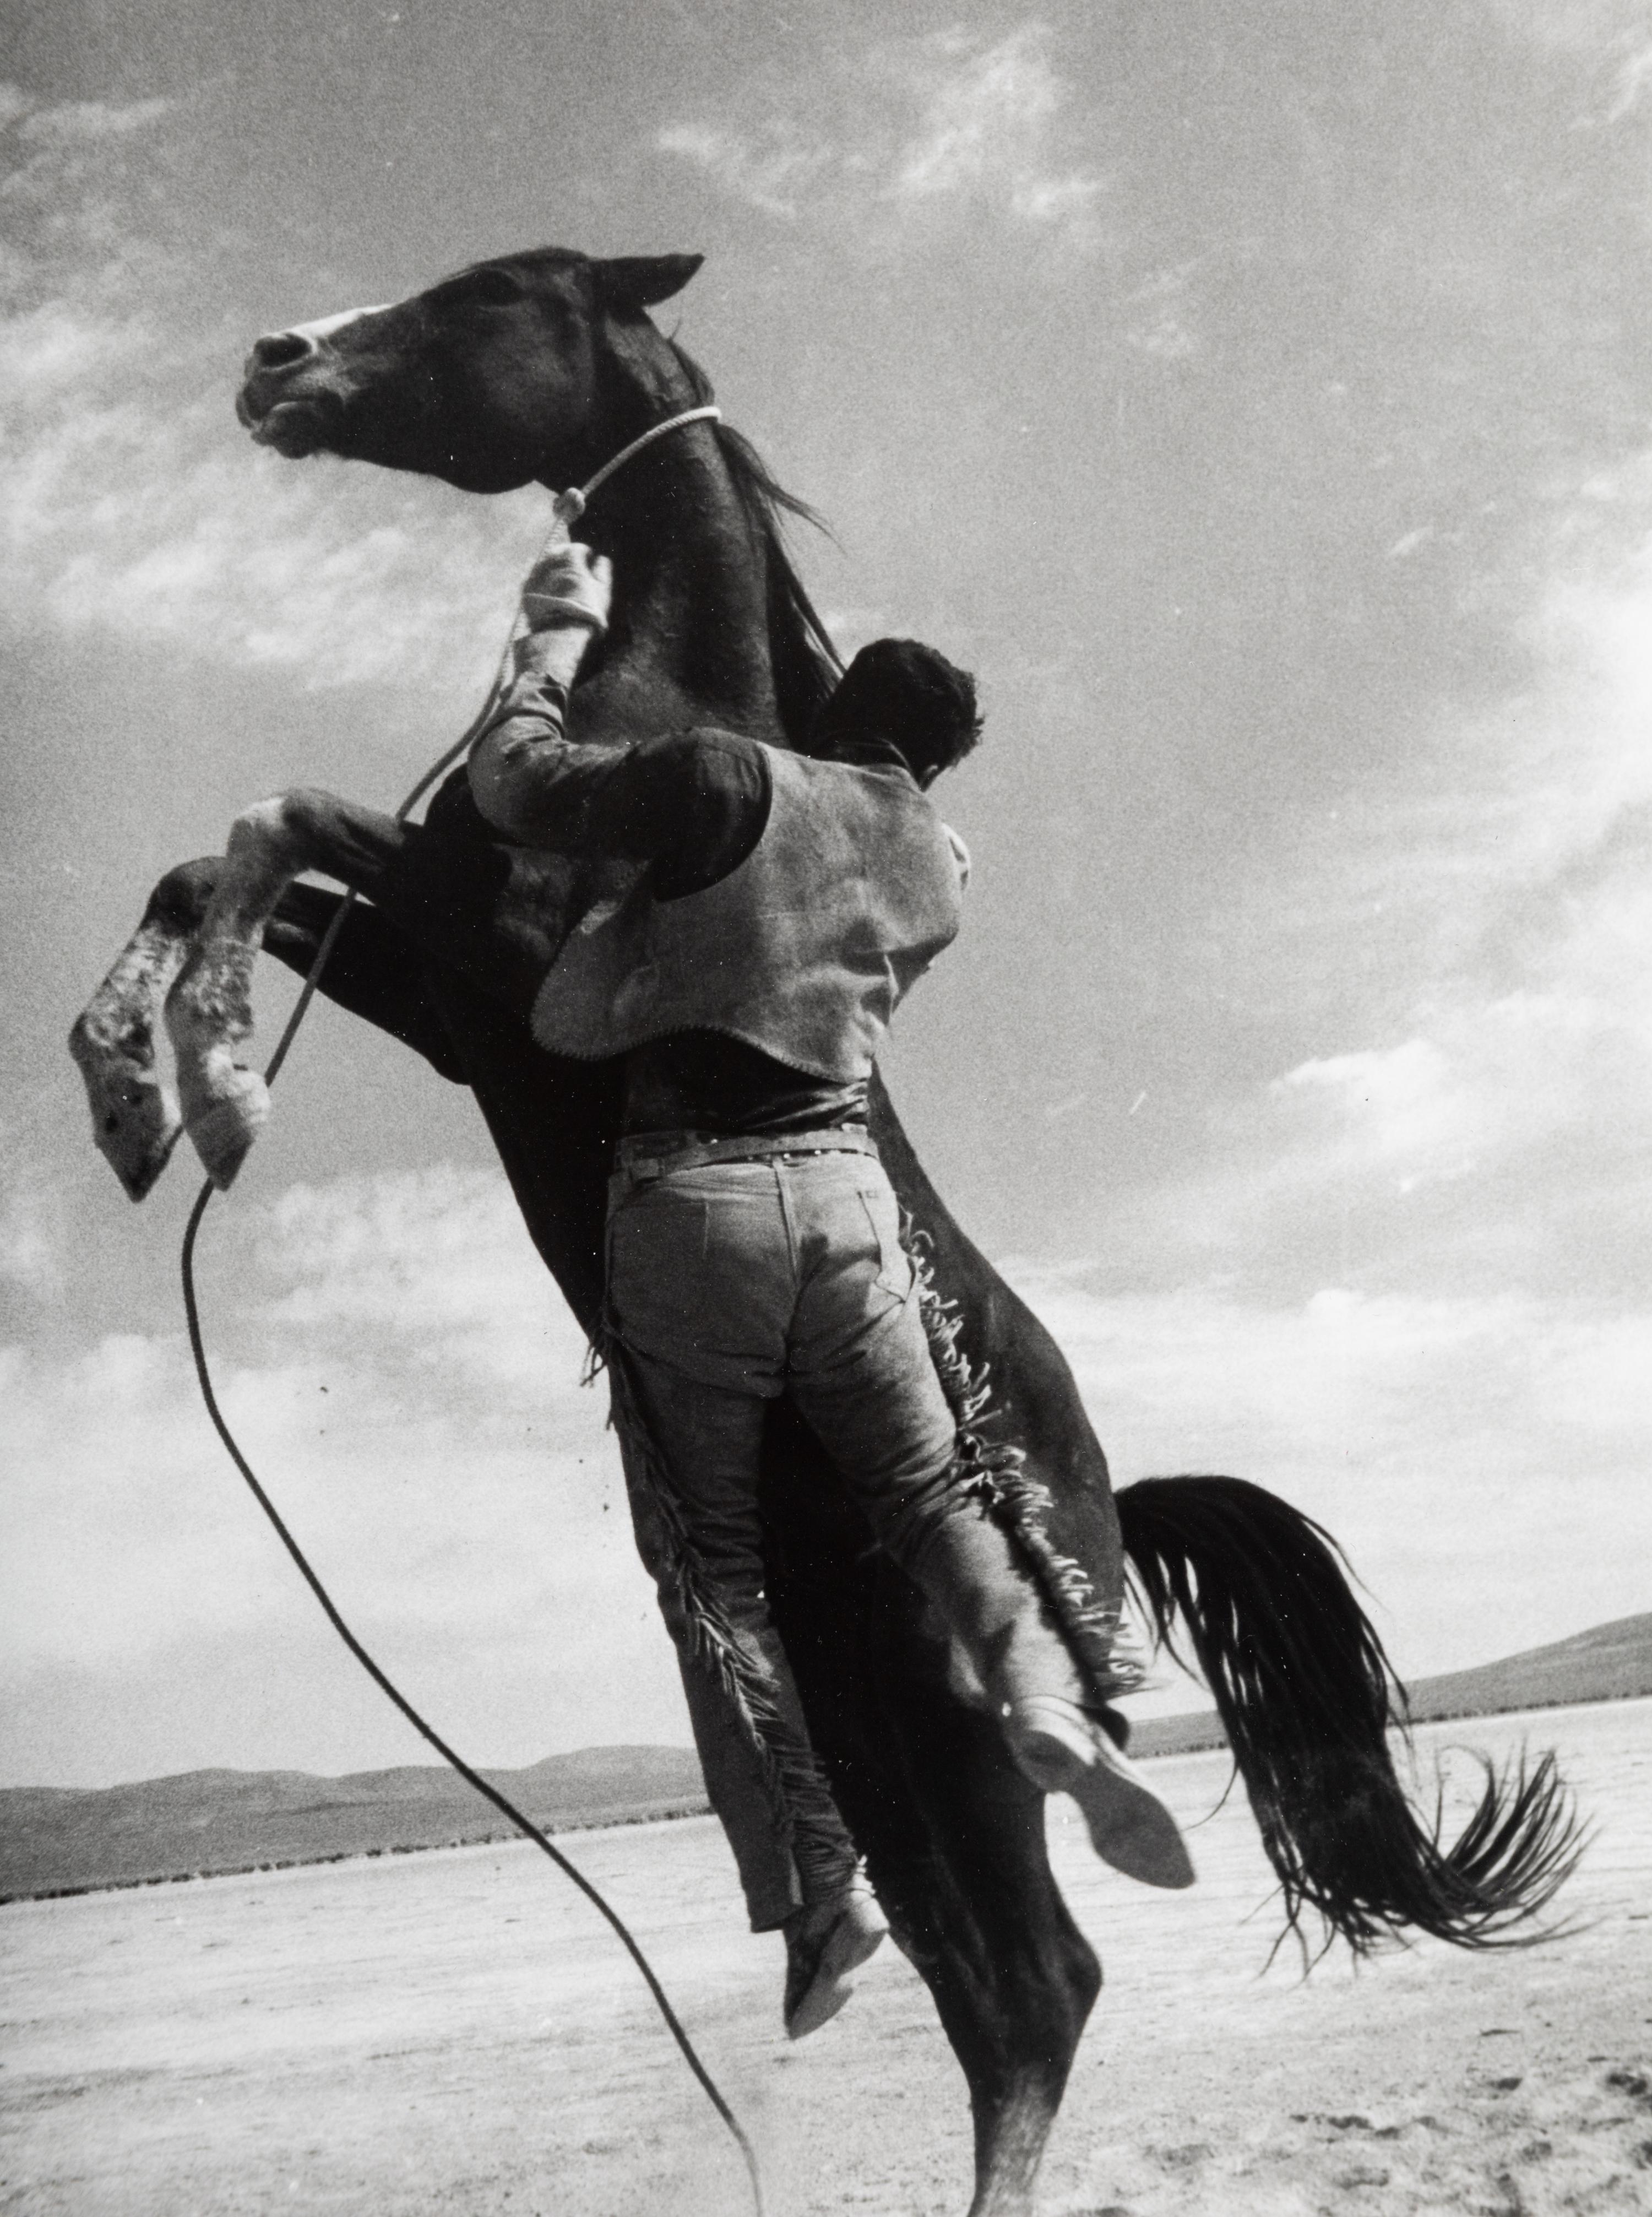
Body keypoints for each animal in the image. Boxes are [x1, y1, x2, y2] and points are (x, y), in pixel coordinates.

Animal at [69, 246, 1579, 2217]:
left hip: (942, 1737)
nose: (275, 362)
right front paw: (138, 1089)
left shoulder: (503, 958)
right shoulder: (453, 997)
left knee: (1041, 1984)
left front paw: (206, 1087)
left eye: (496, 291)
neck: (677, 703)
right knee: (995, 1988)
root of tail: (1107, 1501)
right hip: (870, 1725)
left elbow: (277, 816)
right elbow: (215, 858)